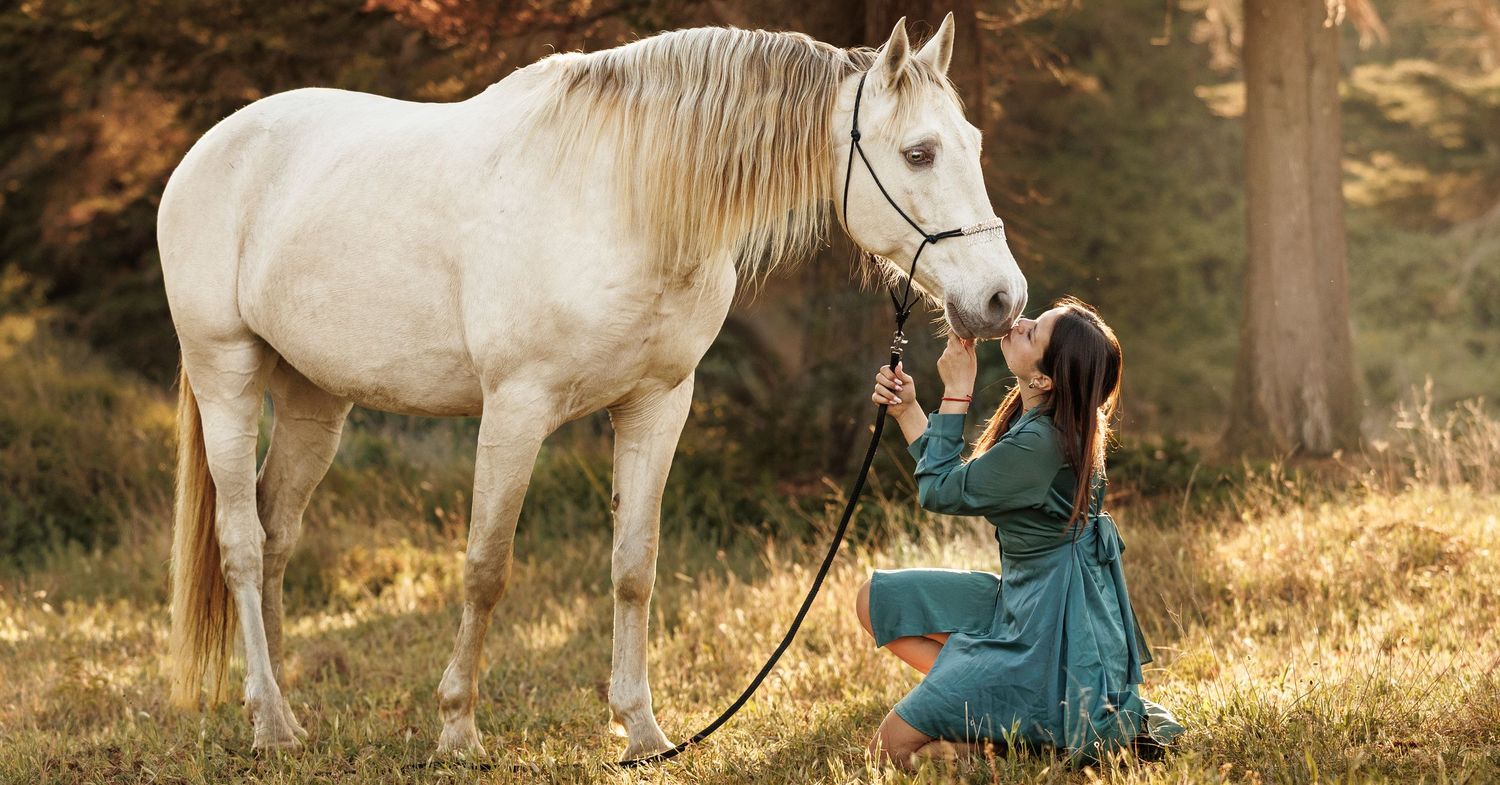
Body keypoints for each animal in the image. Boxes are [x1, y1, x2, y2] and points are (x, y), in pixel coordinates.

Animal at [157, 13, 1026, 757]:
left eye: (975, 142)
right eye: (919, 153)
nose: (1001, 299)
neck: (624, 199)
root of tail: (208, 150)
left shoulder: (656, 406)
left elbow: (634, 567)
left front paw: (641, 729)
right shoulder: (515, 409)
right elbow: (486, 567)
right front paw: (457, 728)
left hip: (316, 398)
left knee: (276, 534)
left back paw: (286, 712)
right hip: (227, 375)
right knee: (242, 544)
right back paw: (270, 721)